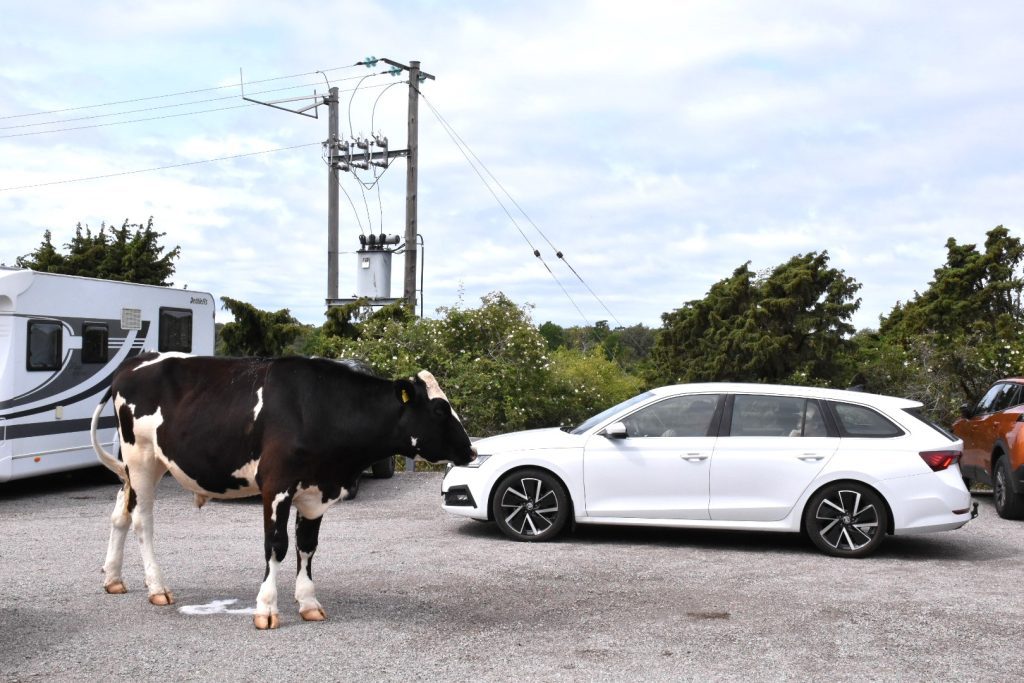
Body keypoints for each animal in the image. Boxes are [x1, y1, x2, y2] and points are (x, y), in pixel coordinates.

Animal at [90, 352, 473, 630]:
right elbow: (277, 545)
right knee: (142, 520)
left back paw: (113, 578)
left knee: (120, 513)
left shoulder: (315, 492)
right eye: (440, 409)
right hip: (140, 458)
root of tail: (136, 361)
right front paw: (266, 608)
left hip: (143, 466)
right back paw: (157, 588)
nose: (470, 451)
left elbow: (307, 547)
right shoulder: (276, 486)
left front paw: (309, 602)